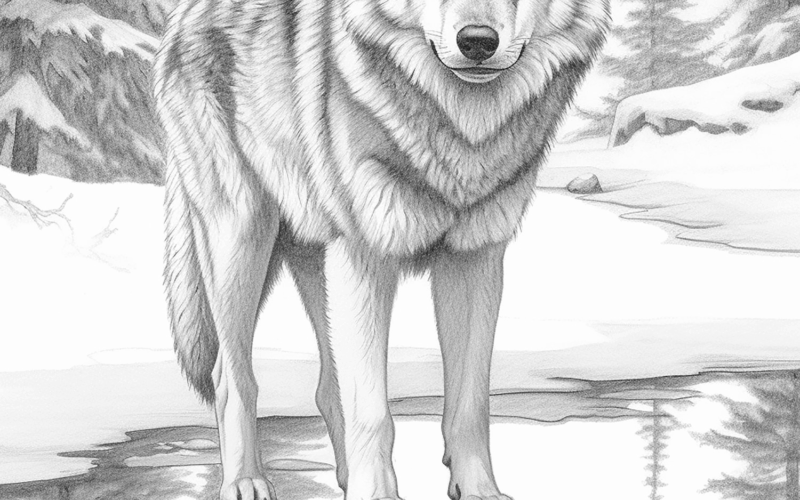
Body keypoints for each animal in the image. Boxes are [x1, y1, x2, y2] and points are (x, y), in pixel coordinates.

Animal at [154, 0, 609, 498]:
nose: (477, 42)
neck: (460, 133)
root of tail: (178, 17)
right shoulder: (364, 257)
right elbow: (373, 413)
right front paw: (376, 492)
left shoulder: (473, 258)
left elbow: (469, 405)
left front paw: (479, 490)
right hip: (243, 236)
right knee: (230, 379)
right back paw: (246, 479)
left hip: (316, 258)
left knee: (328, 385)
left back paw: (342, 477)